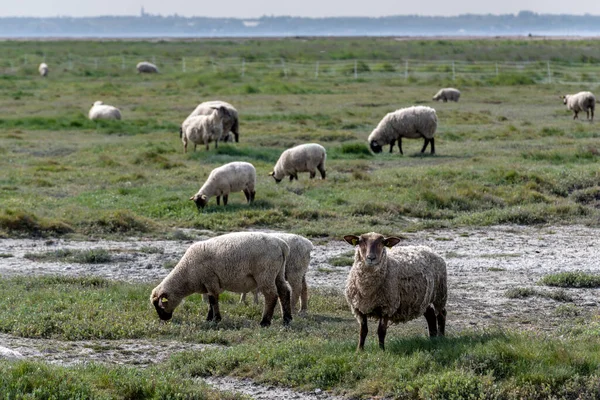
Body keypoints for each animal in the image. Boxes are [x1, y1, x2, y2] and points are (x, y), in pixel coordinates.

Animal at [149, 230, 290, 326]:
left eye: (160, 305)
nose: (163, 319)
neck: (187, 274)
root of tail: (282, 245)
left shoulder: (210, 279)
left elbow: (213, 300)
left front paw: (216, 319)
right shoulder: (207, 283)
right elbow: (210, 301)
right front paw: (209, 318)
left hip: (265, 273)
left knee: (271, 295)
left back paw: (265, 322)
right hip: (278, 272)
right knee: (284, 291)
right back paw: (287, 319)